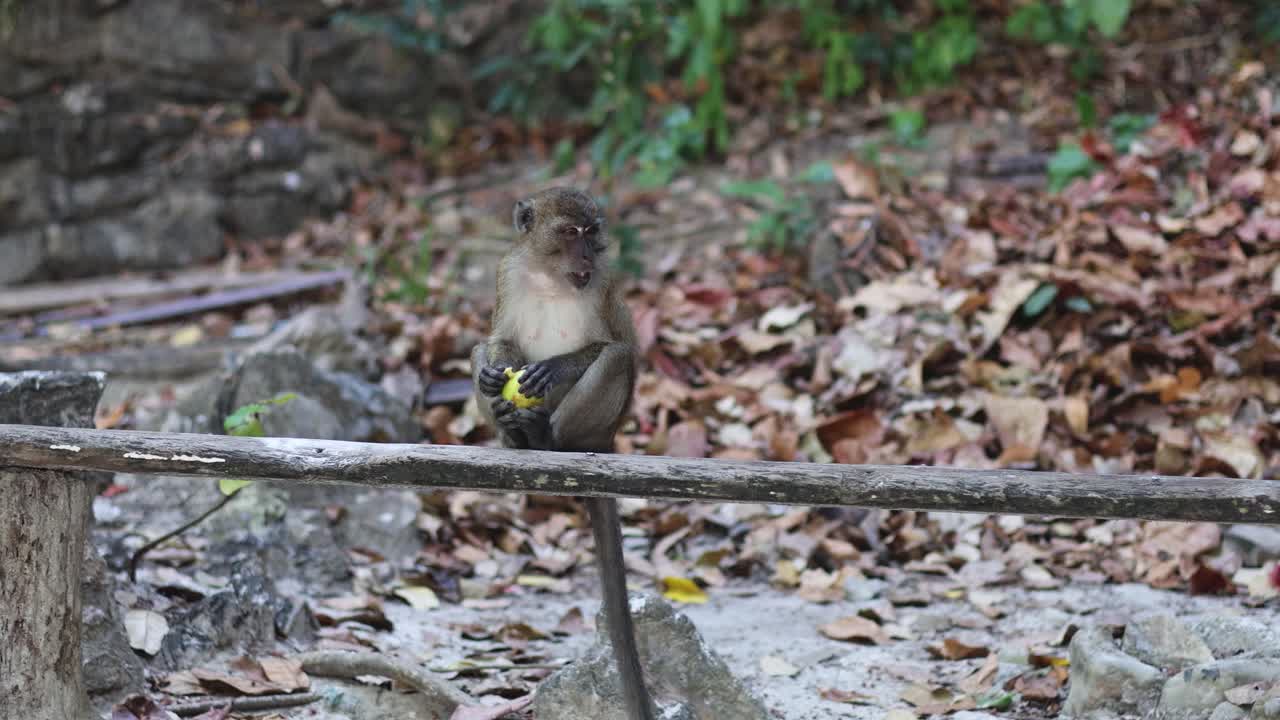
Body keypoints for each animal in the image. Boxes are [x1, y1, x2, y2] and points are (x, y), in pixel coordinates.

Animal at [471, 187, 654, 720]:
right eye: (571, 232)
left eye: (591, 232)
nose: (588, 255)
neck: (550, 276)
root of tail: (605, 440)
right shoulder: (507, 271)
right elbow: (497, 342)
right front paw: (493, 376)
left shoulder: (606, 283)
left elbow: (616, 347)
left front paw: (553, 368)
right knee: (477, 351)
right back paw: (514, 433)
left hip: (599, 424)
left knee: (614, 360)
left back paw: (547, 439)